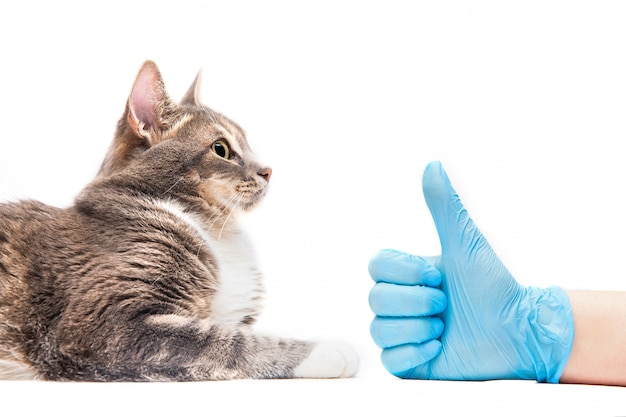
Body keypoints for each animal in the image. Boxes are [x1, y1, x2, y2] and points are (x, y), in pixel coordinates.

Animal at [0, 61, 356, 380]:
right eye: (220, 149)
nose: (268, 170)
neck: (217, 231)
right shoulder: (104, 322)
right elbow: (228, 342)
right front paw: (325, 350)